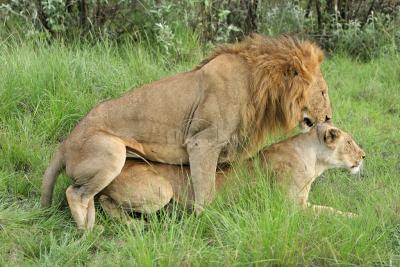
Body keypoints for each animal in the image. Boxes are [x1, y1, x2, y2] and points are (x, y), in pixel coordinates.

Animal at [42, 34, 332, 230]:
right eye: (323, 92)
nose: (329, 117)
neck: (260, 85)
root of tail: (64, 144)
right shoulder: (203, 141)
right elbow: (206, 190)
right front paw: (210, 220)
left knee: (89, 195)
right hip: (112, 150)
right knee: (75, 193)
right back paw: (89, 231)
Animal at [99, 123, 366, 220]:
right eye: (350, 142)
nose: (364, 156)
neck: (315, 161)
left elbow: (329, 209)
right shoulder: (290, 207)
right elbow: (329, 212)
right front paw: (358, 218)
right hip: (161, 191)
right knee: (103, 199)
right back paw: (131, 224)